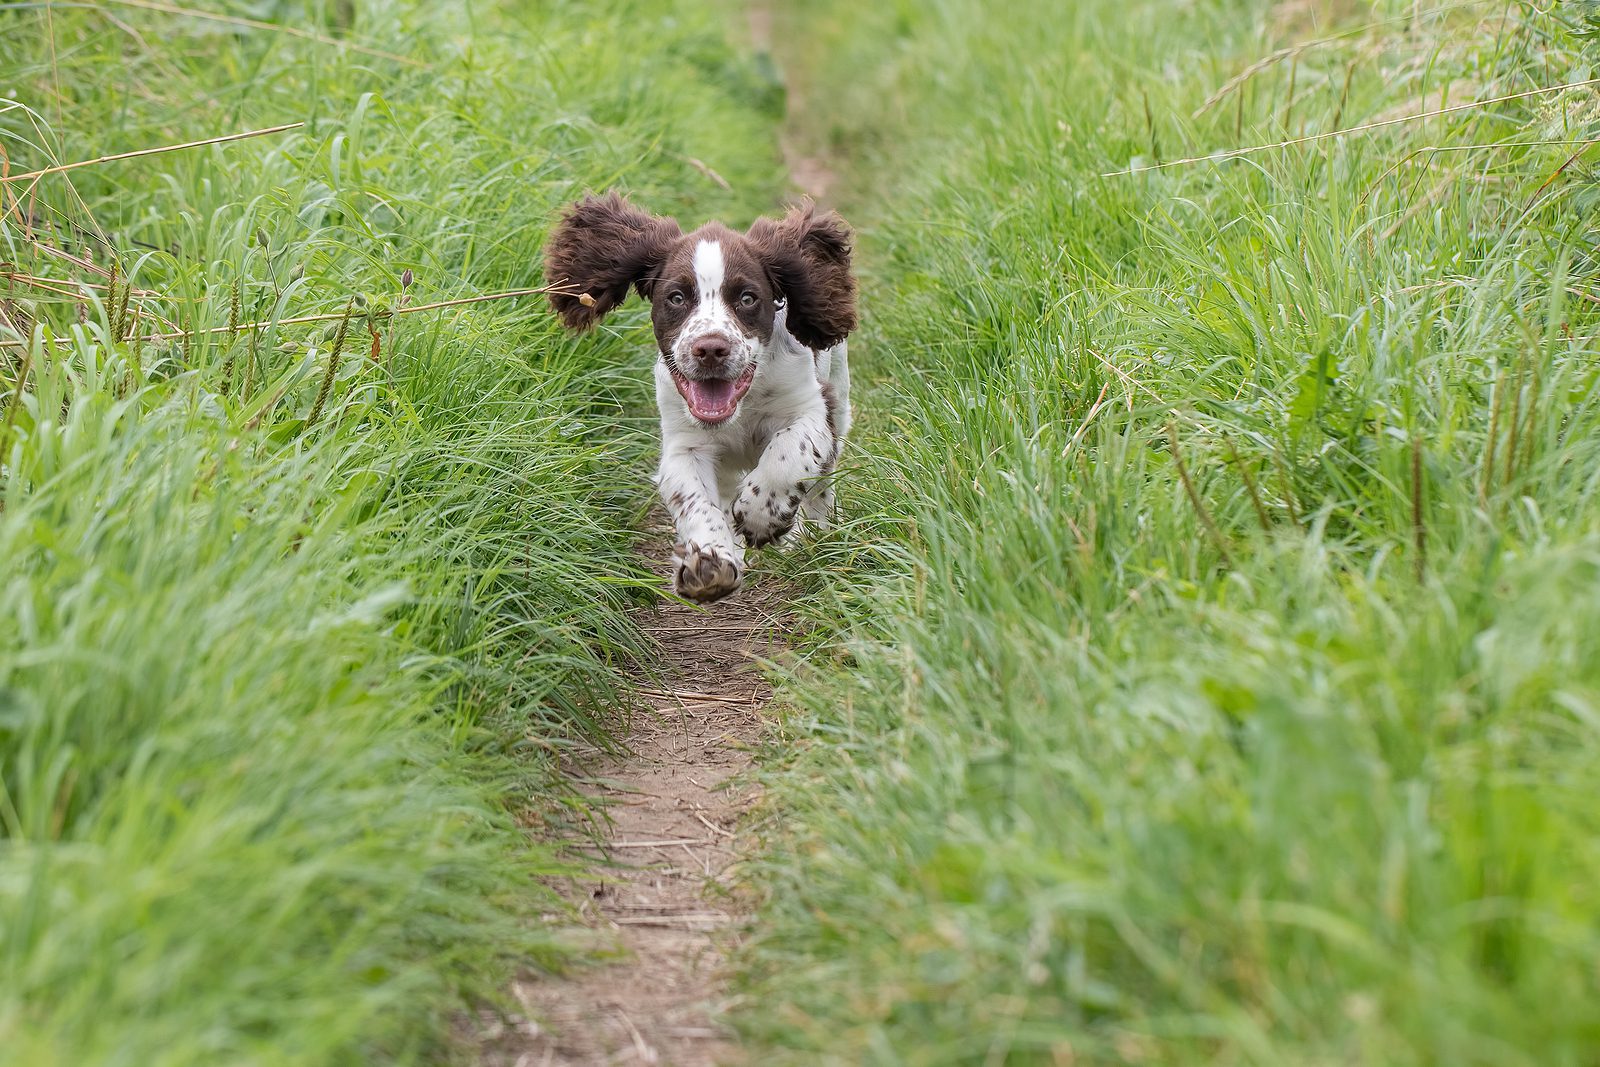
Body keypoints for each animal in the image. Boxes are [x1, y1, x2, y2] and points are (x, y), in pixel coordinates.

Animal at [544, 194, 857, 601]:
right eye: (676, 297)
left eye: (747, 298)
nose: (710, 349)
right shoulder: (684, 445)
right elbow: (695, 501)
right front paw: (708, 563)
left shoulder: (812, 409)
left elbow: (787, 455)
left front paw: (761, 517)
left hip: (840, 401)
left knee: (821, 485)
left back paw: (814, 535)